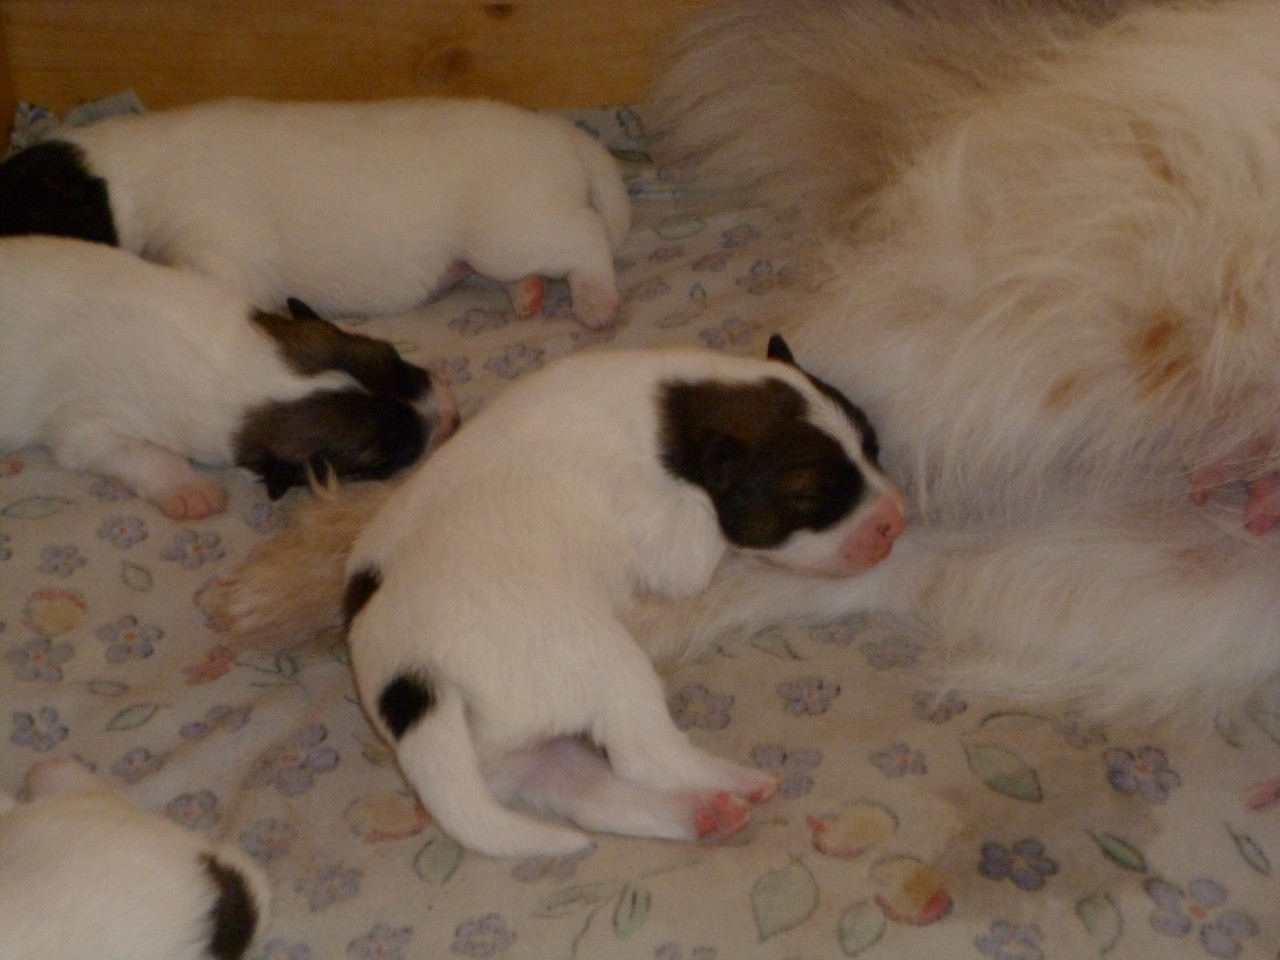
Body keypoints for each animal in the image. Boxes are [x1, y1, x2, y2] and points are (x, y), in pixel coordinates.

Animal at [0, 97, 634, 330]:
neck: (126, 173)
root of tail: (562, 133)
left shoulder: (223, 255)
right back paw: (526, 294)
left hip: (510, 228)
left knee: (586, 237)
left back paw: (596, 299)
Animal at [0, 235, 460, 519]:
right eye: (391, 456)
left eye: (395, 357)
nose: (454, 416)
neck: (234, 369)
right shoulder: (86, 424)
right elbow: (136, 452)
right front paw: (190, 489)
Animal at [217, 335, 901, 855]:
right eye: (809, 493)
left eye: (873, 444)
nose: (896, 521)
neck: (677, 413)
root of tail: (412, 680)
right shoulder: (672, 539)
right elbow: (701, 557)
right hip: (603, 660)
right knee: (641, 754)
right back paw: (735, 782)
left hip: (519, 749)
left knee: (590, 794)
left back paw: (703, 814)